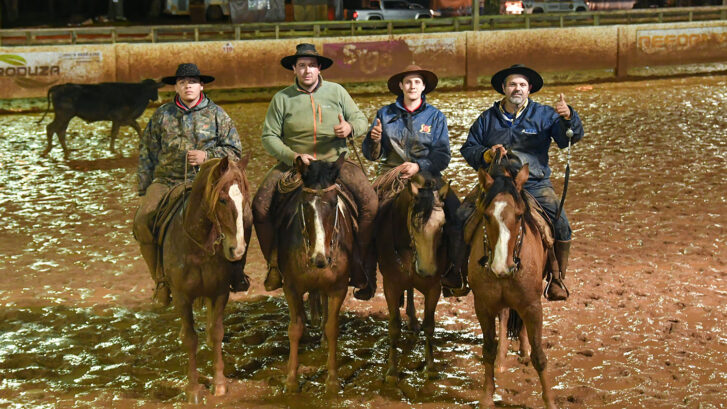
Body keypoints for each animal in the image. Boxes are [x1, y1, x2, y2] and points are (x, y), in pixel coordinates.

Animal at [159, 155, 253, 404]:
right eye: (222, 199)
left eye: (245, 200)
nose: (237, 250)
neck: (197, 247)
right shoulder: (182, 297)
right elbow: (190, 339)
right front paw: (193, 389)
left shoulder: (219, 292)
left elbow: (217, 332)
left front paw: (219, 384)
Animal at [274, 152, 356, 392]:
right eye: (305, 205)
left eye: (334, 202)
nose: (319, 258)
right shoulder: (290, 287)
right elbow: (295, 328)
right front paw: (291, 380)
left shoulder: (339, 288)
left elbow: (332, 327)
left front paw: (332, 379)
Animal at [376, 172, 450, 382]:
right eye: (414, 223)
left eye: (443, 225)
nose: (426, 270)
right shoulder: (390, 286)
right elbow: (394, 327)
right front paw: (392, 371)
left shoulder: (434, 288)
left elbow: (429, 326)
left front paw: (430, 367)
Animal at [466, 159, 556, 408]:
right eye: (487, 216)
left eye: (518, 215)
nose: (500, 267)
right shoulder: (483, 306)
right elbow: (487, 348)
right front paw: (487, 397)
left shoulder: (532, 306)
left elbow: (539, 356)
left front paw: (550, 401)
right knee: (505, 317)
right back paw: (501, 357)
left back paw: (522, 350)